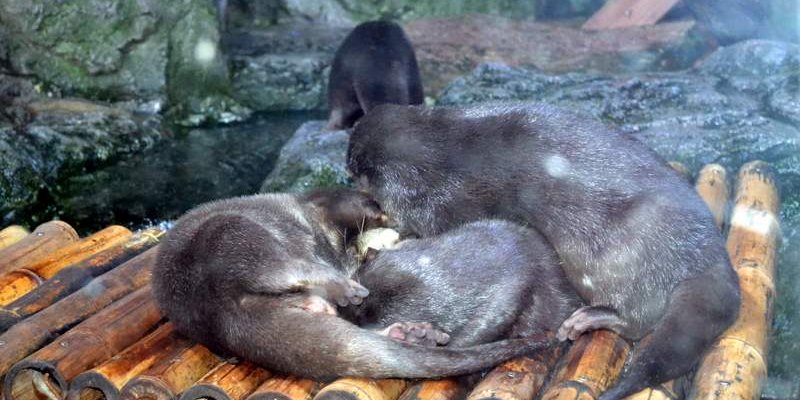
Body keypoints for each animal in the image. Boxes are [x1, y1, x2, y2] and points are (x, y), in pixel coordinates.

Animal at [155, 189, 556, 380]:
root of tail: (218, 315)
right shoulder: (334, 203)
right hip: (231, 235)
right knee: (282, 266)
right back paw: (344, 287)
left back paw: (410, 334)